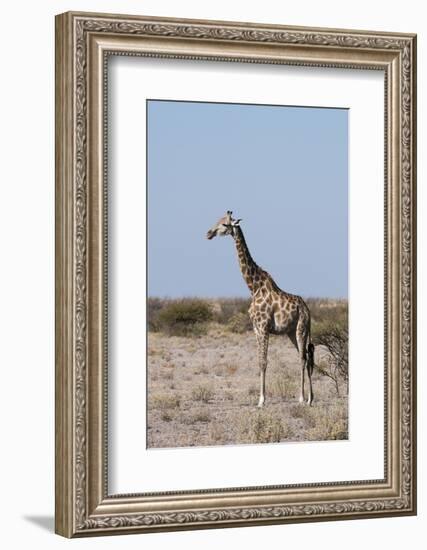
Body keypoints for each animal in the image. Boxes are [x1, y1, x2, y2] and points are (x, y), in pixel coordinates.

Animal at [207, 213, 314, 408]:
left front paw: (262, 401)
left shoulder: (264, 327)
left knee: (303, 358)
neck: (253, 287)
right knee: (305, 357)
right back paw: (310, 398)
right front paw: (260, 399)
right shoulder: (256, 328)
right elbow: (259, 362)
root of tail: (307, 310)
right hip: (291, 332)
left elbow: (264, 362)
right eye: (217, 220)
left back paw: (303, 398)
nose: (208, 233)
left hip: (301, 329)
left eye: (225, 224)